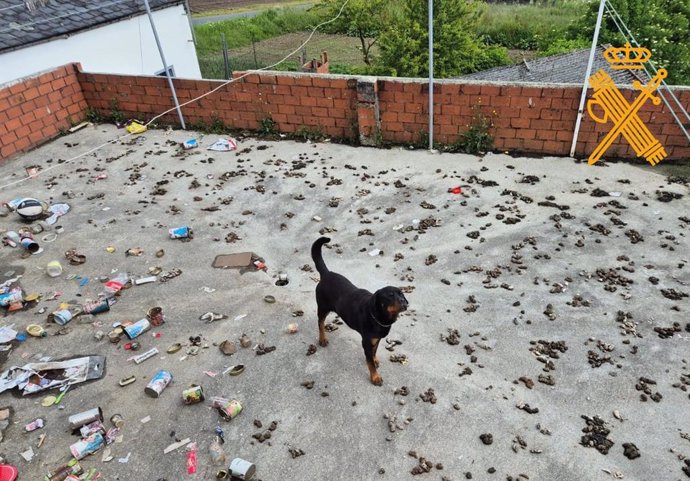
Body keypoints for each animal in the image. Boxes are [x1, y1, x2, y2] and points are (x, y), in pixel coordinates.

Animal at [310, 237, 406, 386]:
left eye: (401, 294)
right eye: (390, 295)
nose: (403, 302)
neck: (379, 318)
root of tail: (326, 273)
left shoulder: (376, 339)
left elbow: (374, 352)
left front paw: (375, 359)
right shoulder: (366, 341)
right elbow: (369, 362)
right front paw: (375, 377)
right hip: (323, 307)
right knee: (320, 322)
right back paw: (322, 339)